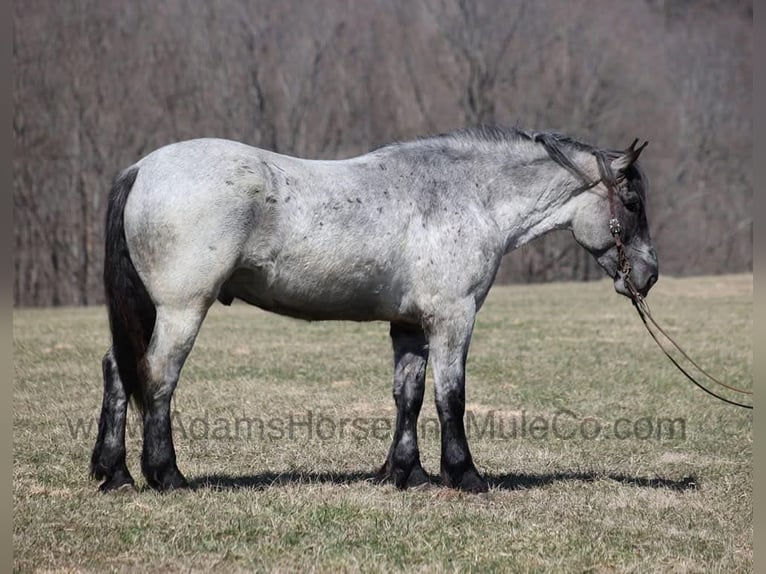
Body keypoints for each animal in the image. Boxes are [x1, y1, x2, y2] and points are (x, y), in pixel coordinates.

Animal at [90, 126, 658, 494]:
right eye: (632, 204)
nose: (649, 274)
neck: (468, 196)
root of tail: (142, 169)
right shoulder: (454, 320)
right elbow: (451, 397)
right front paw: (465, 475)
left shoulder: (410, 326)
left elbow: (408, 396)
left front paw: (407, 473)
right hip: (182, 310)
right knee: (158, 378)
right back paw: (167, 476)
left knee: (118, 370)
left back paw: (114, 474)